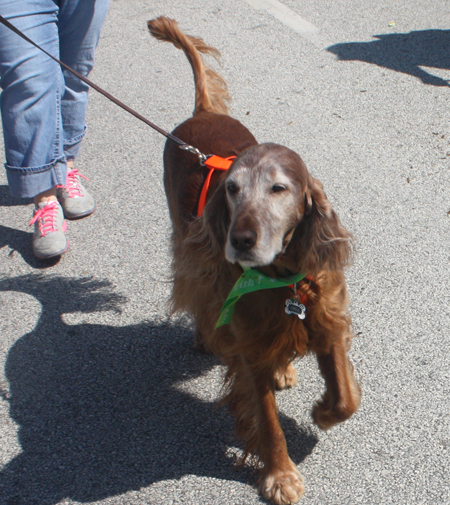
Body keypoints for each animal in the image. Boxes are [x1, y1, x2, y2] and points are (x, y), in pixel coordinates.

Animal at [149, 16, 360, 504]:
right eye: (232, 189)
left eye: (278, 188)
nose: (240, 240)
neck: (285, 280)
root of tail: (203, 111)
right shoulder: (248, 355)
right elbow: (268, 423)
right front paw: (280, 475)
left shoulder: (327, 318)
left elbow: (345, 398)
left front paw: (322, 411)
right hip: (185, 237)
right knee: (197, 291)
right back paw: (207, 334)